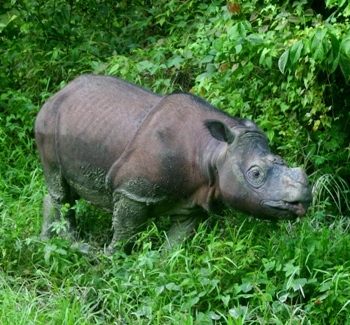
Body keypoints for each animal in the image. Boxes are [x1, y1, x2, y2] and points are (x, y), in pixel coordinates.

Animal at [34, 73, 312, 251]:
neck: (213, 151)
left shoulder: (194, 199)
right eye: (255, 174)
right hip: (48, 120)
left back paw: (50, 241)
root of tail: (58, 92)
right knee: (59, 188)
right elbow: (125, 232)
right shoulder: (131, 191)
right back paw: (69, 243)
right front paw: (112, 261)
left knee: (61, 191)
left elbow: (178, 240)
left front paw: (162, 263)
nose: (304, 199)